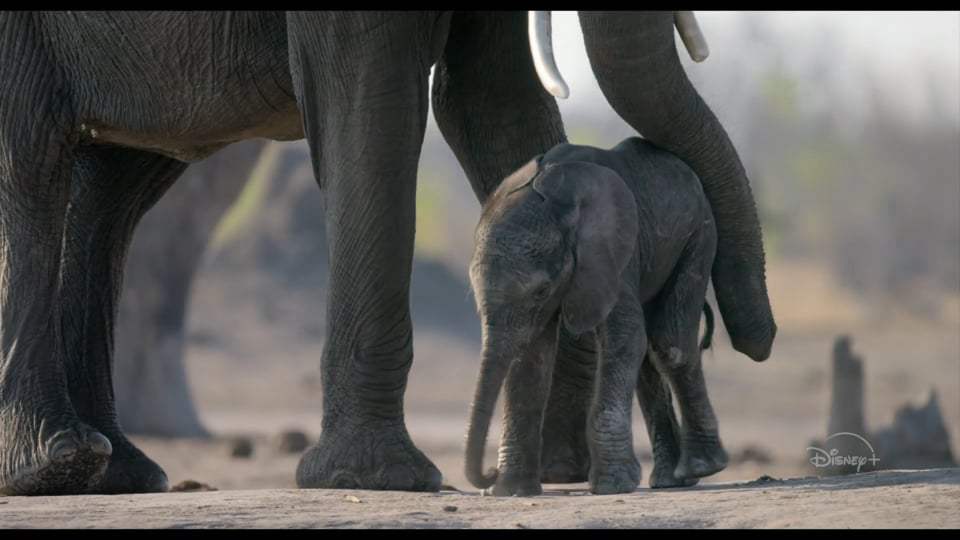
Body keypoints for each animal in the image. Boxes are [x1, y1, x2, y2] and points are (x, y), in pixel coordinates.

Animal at [465, 138, 731, 496]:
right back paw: (671, 480)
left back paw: (702, 466)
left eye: (541, 290)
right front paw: (512, 490)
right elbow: (531, 357)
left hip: (699, 235)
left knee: (669, 342)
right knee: (650, 358)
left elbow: (625, 338)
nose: (488, 474)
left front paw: (613, 485)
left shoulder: (612, 256)